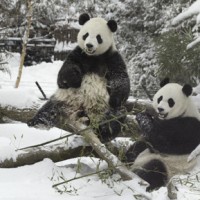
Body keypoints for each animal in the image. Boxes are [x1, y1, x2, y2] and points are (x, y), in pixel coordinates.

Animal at [27, 12, 130, 142]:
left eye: (98, 37)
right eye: (86, 35)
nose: (89, 45)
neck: (94, 57)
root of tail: (81, 109)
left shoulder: (112, 58)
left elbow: (120, 79)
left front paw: (115, 99)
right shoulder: (79, 54)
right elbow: (64, 75)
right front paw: (75, 79)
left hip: (104, 109)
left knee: (116, 117)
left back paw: (104, 132)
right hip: (63, 99)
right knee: (47, 110)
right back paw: (36, 123)